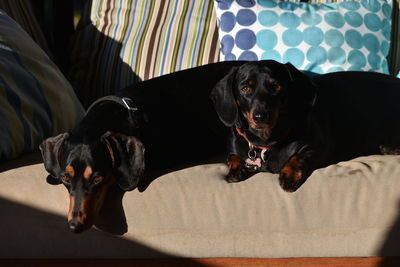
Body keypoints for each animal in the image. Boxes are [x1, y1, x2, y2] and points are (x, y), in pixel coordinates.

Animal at [209, 61, 400, 193]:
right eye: (245, 88)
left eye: (276, 86)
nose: (260, 116)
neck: (266, 141)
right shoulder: (234, 145)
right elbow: (233, 156)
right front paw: (236, 170)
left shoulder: (317, 147)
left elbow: (298, 157)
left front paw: (288, 176)